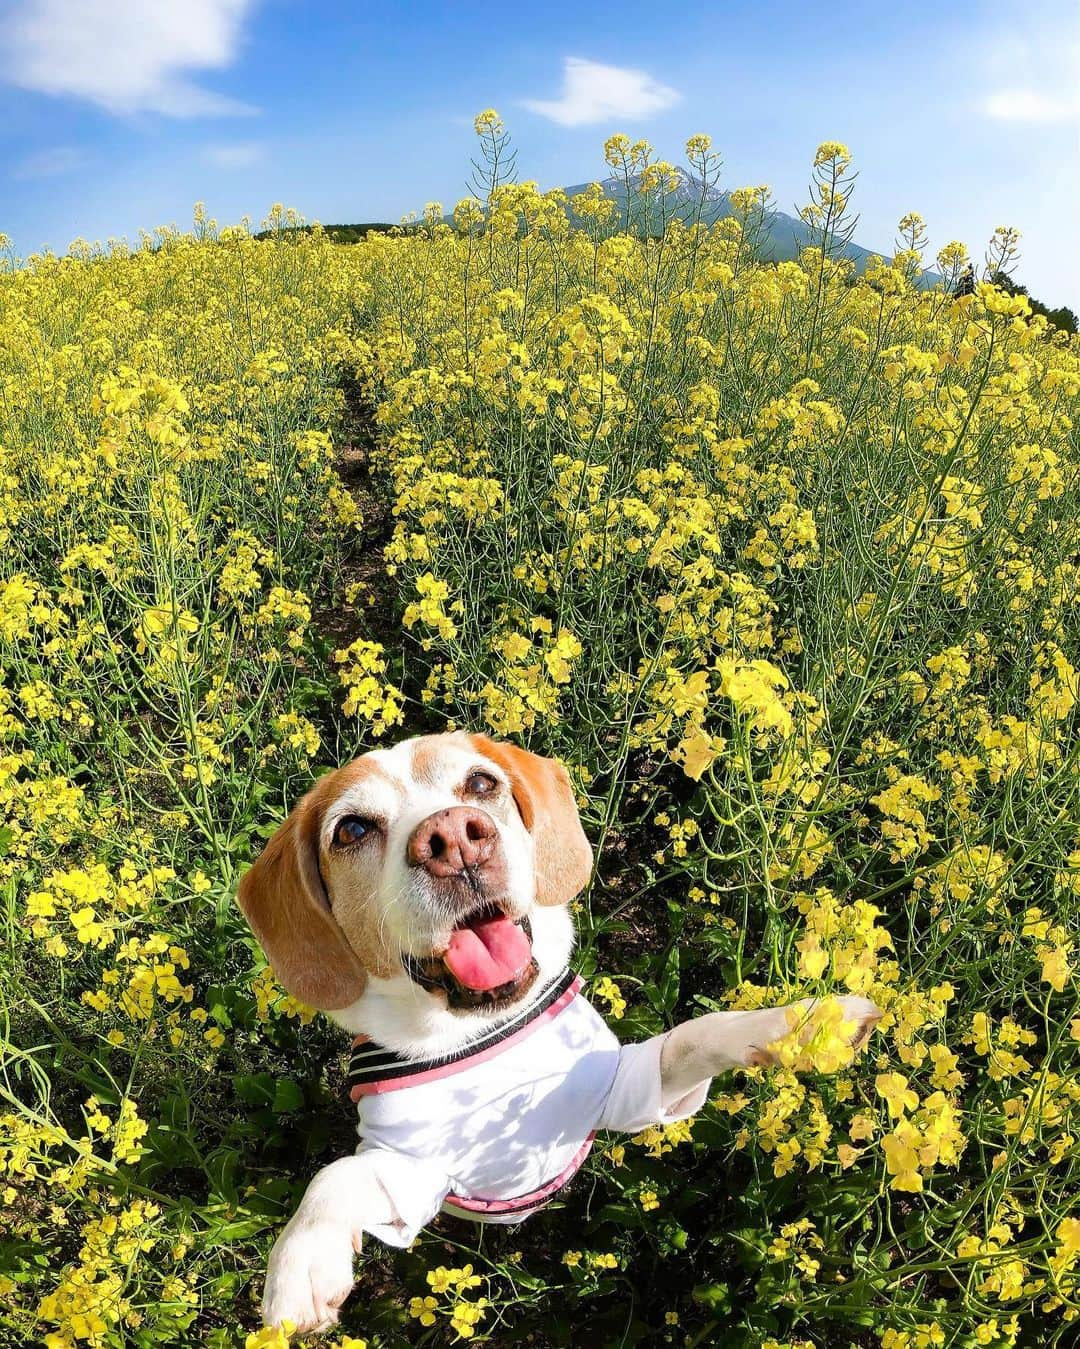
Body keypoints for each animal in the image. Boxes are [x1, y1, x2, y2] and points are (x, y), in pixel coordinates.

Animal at [238, 733, 873, 1332]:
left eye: (481, 783)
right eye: (352, 830)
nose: (454, 838)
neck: (486, 1033)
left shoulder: (627, 1087)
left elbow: (698, 1032)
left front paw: (805, 1025)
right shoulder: (412, 1169)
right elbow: (336, 1176)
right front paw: (301, 1264)